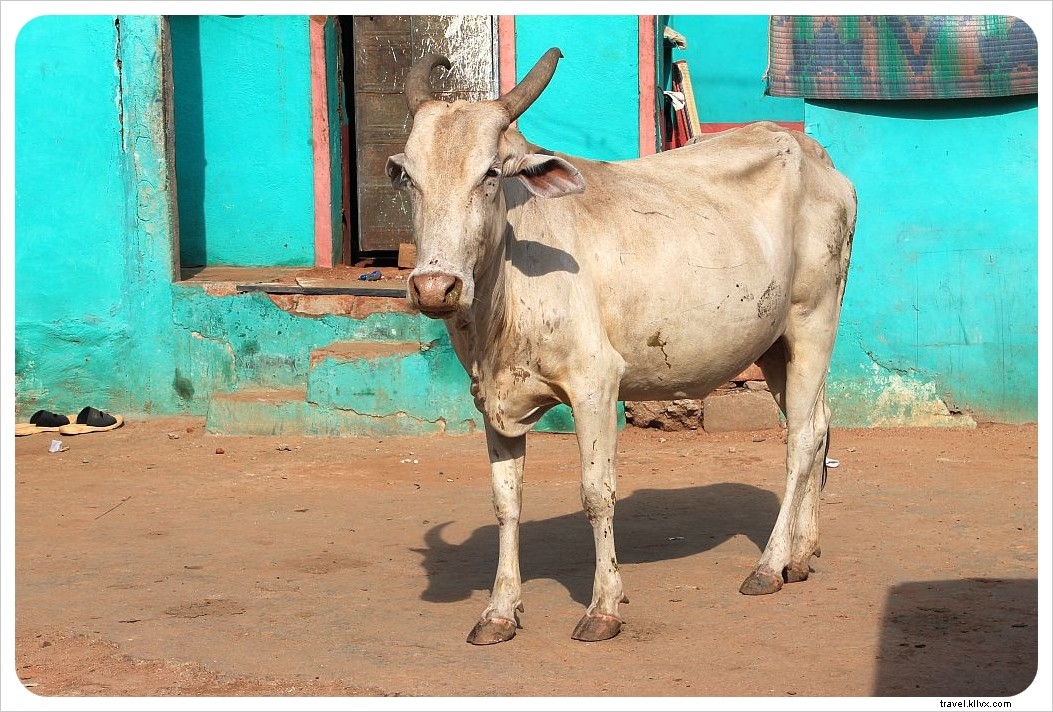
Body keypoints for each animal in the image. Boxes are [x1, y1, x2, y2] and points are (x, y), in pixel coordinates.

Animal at [386, 48, 857, 645]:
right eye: (410, 178)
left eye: (489, 174)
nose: (433, 286)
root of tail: (817, 157)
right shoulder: (493, 399)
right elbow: (505, 503)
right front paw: (498, 611)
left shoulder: (594, 384)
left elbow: (596, 492)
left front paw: (603, 607)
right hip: (775, 346)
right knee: (818, 423)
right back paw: (801, 554)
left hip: (814, 319)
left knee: (801, 440)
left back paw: (769, 566)